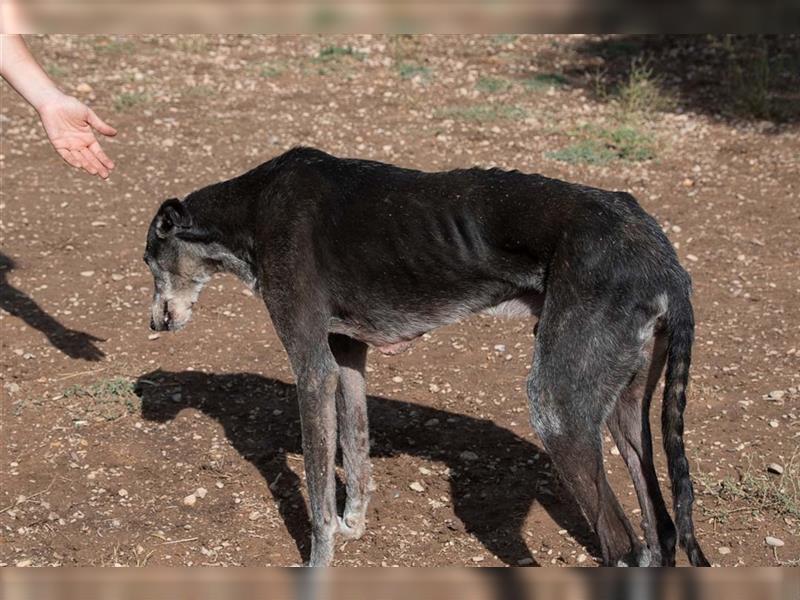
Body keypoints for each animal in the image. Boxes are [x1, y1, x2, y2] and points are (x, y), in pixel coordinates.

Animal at [142, 146, 708, 568]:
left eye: (151, 261)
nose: (155, 323)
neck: (256, 205)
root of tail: (665, 262)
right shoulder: (347, 359)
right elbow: (357, 450)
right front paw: (354, 526)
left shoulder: (313, 369)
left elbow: (318, 493)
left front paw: (320, 559)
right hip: (621, 412)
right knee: (660, 529)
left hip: (558, 412)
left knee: (622, 544)